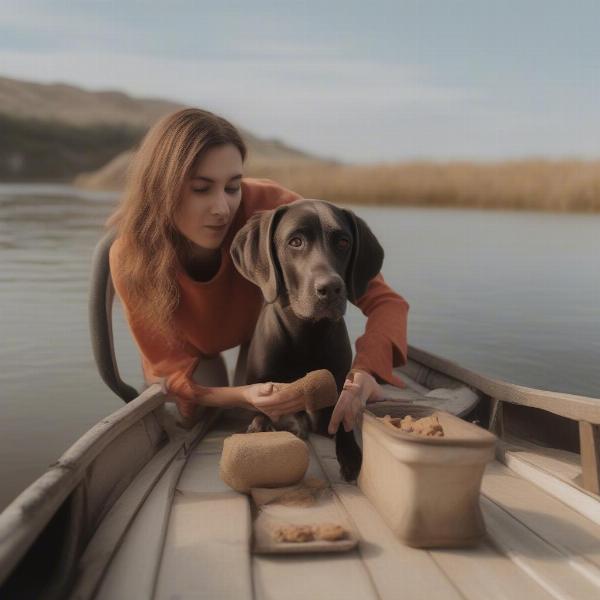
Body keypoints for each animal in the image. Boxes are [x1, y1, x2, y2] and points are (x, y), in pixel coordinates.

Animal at [227, 199, 386, 480]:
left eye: (343, 242)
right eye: (295, 241)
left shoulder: (335, 397)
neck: (306, 335)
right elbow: (262, 415)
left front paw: (350, 455)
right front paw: (262, 427)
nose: (331, 288)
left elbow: (342, 422)